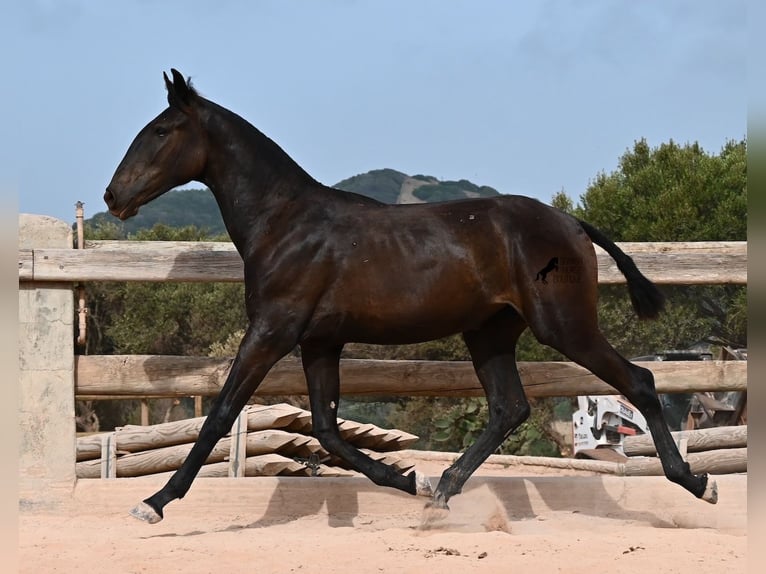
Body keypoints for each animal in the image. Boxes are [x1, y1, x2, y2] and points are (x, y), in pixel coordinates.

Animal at [105, 69, 717, 524]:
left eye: (162, 131)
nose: (114, 196)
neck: (285, 224)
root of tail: (571, 223)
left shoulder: (273, 331)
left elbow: (222, 414)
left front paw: (154, 502)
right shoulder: (319, 342)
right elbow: (326, 429)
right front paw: (406, 478)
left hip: (563, 326)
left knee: (639, 381)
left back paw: (697, 482)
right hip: (490, 332)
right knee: (510, 406)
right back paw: (441, 488)